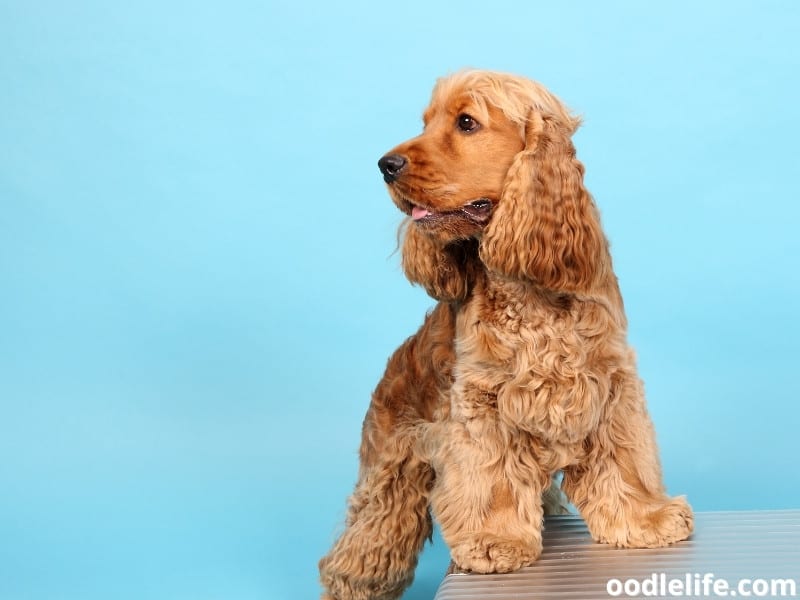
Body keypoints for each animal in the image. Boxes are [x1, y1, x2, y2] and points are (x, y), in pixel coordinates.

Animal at [318, 69, 692, 600]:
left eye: (466, 122)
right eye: (426, 123)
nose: (385, 165)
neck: (530, 290)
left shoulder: (610, 382)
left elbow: (624, 459)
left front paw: (646, 517)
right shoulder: (481, 401)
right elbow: (491, 476)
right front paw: (496, 540)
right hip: (388, 477)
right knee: (357, 552)